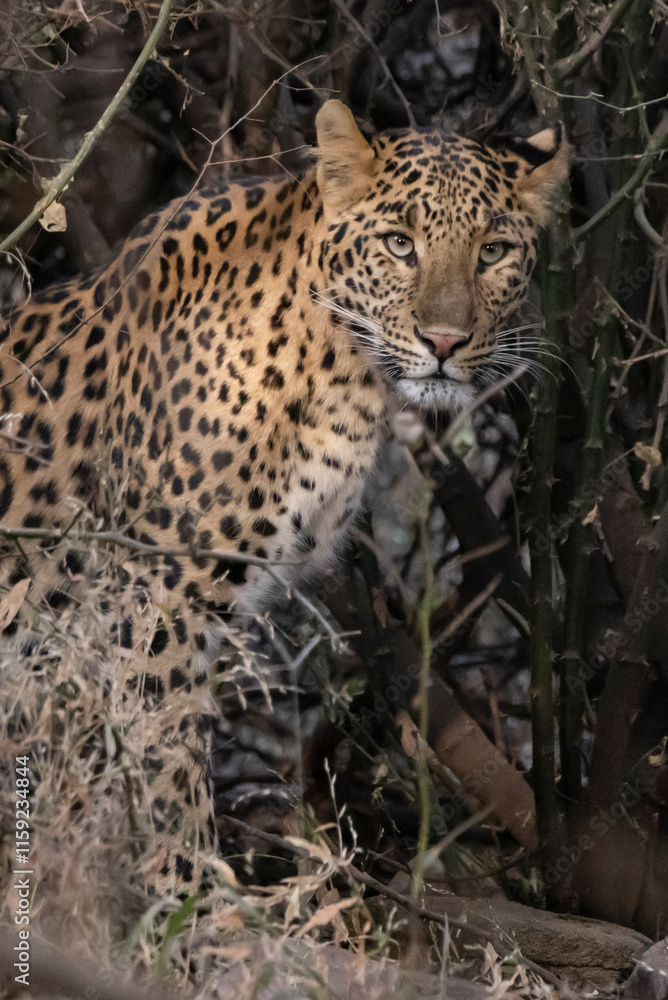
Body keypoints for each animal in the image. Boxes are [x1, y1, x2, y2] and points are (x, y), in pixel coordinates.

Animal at [0, 100, 567, 895]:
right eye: (400, 244)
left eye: (493, 253)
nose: (445, 342)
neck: (342, 381)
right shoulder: (158, 594)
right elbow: (166, 770)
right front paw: (193, 905)